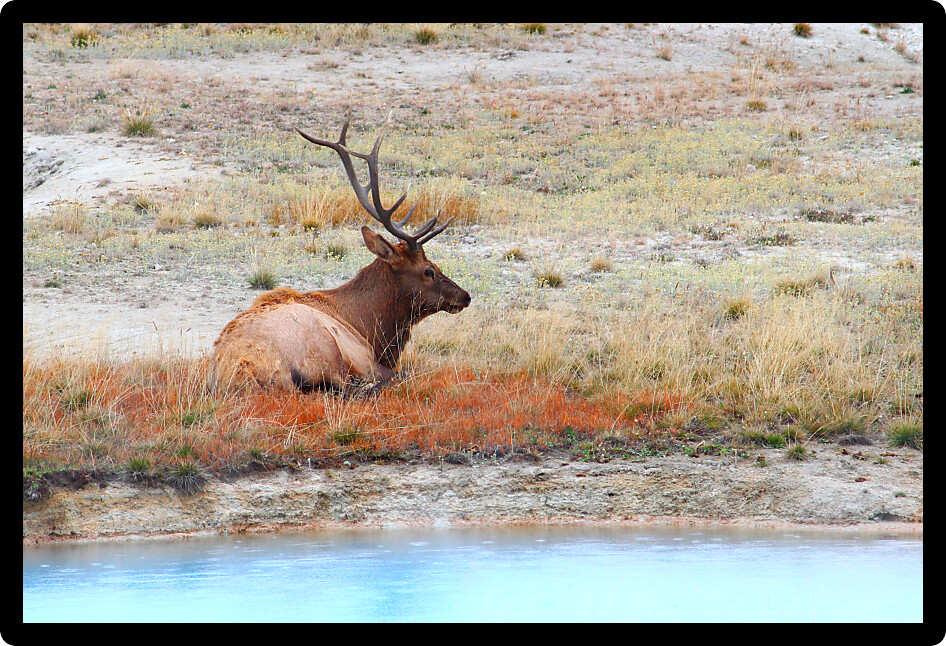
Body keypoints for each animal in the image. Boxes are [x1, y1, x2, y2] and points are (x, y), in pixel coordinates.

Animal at [208, 113, 471, 395]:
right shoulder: (364, 359)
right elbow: (400, 374)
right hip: (325, 349)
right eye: (429, 271)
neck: (369, 328)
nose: (465, 296)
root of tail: (240, 372)